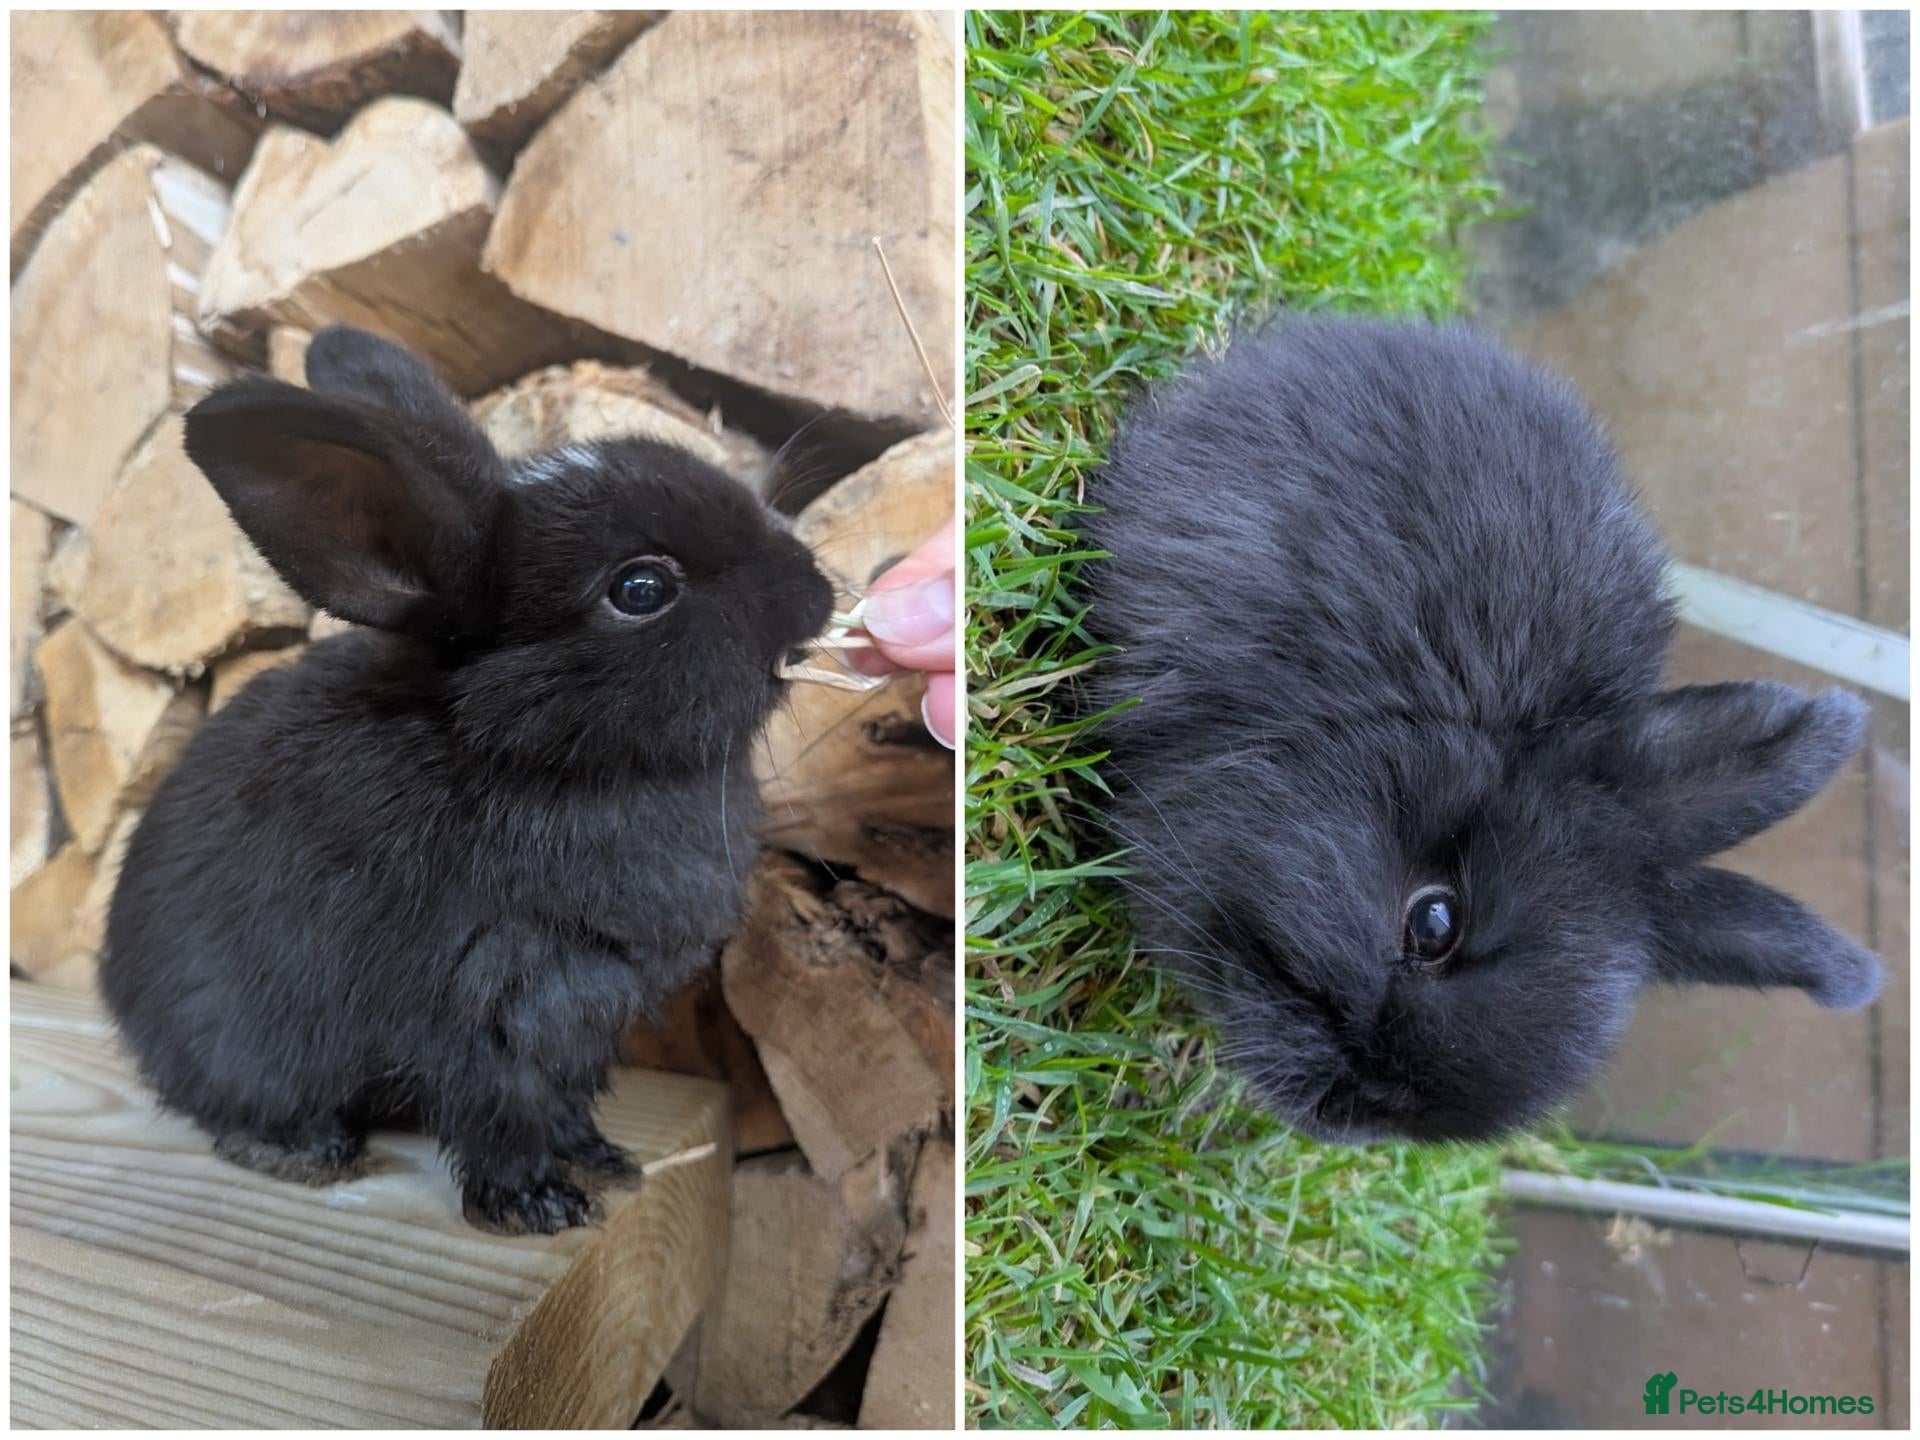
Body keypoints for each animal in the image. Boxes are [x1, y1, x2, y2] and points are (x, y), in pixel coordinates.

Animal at [100, 325, 834, 1233]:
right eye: (641, 589)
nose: (816, 589)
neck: (541, 755)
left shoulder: (582, 1025)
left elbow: (563, 1105)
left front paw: (600, 1161)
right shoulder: (486, 1013)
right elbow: (500, 1117)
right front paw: (535, 1207)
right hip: (253, 1048)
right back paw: (303, 1152)